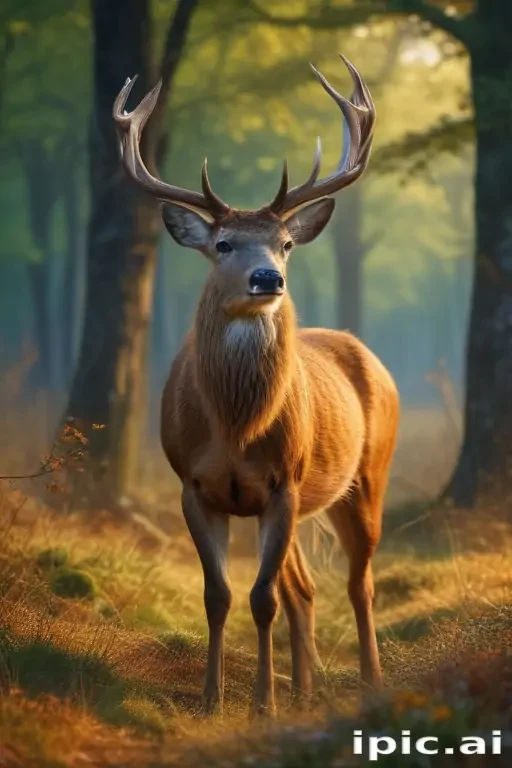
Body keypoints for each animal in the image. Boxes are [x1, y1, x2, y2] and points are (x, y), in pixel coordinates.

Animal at [114, 55, 399, 716]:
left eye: (286, 243)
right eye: (223, 244)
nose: (269, 278)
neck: (237, 431)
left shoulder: (282, 484)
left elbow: (261, 599)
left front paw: (262, 703)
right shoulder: (192, 484)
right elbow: (219, 595)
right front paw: (212, 700)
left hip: (367, 474)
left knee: (360, 582)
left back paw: (369, 680)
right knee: (306, 587)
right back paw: (306, 689)